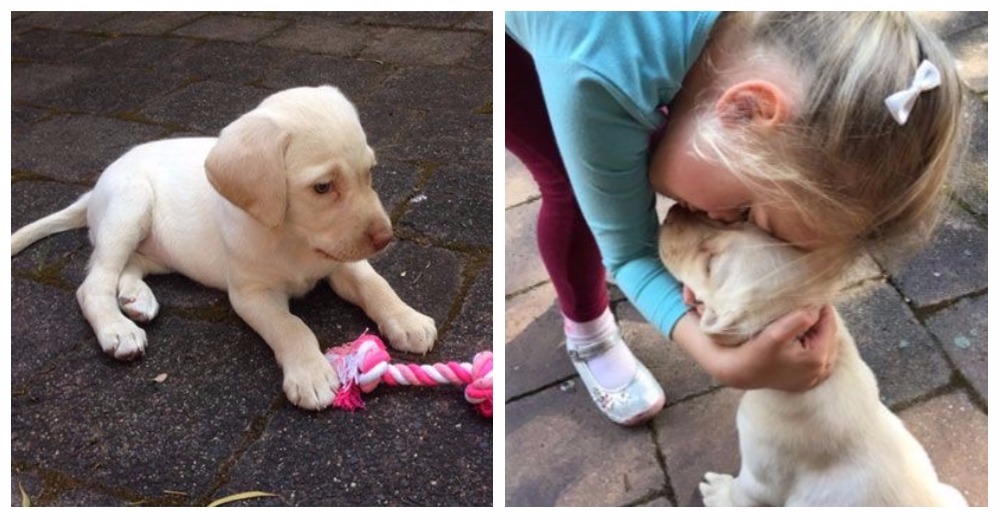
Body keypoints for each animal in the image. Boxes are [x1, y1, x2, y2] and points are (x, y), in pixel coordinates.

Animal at [656, 205, 960, 506]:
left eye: (710, 264)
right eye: (742, 221)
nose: (671, 213)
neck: (834, 364)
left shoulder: (761, 479)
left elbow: (741, 493)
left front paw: (717, 491)